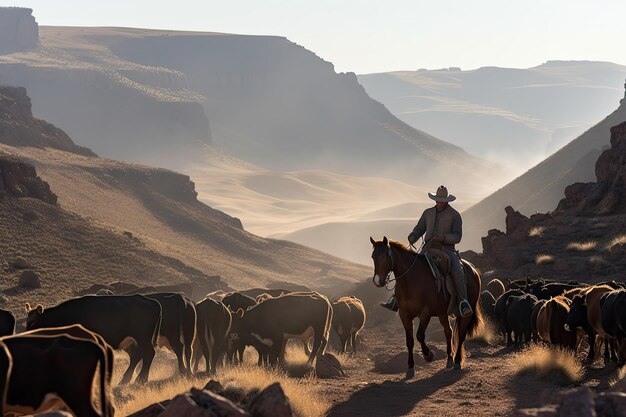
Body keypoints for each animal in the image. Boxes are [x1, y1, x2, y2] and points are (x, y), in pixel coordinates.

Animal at [25, 292, 161, 384]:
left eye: (33, 323)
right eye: (27, 322)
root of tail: (151, 301)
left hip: (143, 338)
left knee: (148, 353)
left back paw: (141, 380)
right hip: (133, 341)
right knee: (137, 356)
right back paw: (125, 380)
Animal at [370, 236, 482, 376]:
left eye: (386, 254)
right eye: (373, 256)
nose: (377, 281)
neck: (412, 280)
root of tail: (473, 270)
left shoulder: (425, 313)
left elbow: (419, 335)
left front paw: (428, 355)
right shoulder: (404, 314)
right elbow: (410, 340)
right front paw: (410, 367)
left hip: (466, 312)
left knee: (461, 334)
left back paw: (456, 362)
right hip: (442, 313)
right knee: (449, 331)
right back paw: (449, 359)